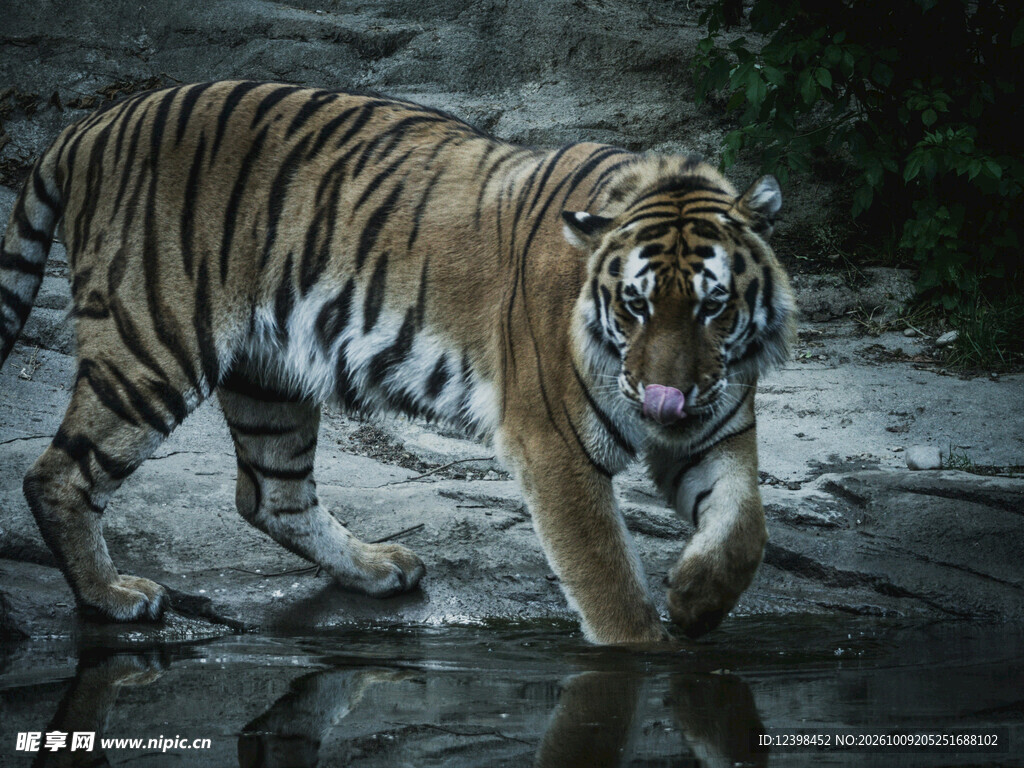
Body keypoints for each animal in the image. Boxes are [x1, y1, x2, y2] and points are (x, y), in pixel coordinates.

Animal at [0, 81, 795, 644]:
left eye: (713, 307)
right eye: (634, 306)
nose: (663, 401)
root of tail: (89, 126)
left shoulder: (717, 427)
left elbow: (744, 531)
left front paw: (694, 602)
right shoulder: (555, 447)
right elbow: (607, 580)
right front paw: (648, 655)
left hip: (268, 374)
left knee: (271, 495)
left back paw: (378, 569)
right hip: (153, 346)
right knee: (58, 476)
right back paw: (113, 598)